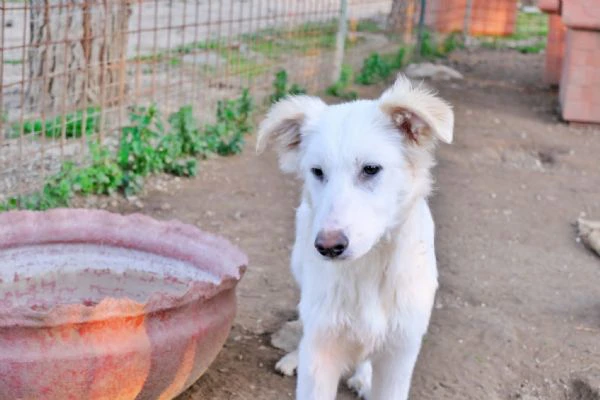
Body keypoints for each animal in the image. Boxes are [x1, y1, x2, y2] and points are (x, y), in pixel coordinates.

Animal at [255, 76, 452, 400]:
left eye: (371, 169)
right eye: (317, 171)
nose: (327, 247)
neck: (367, 267)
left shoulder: (400, 353)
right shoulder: (321, 352)